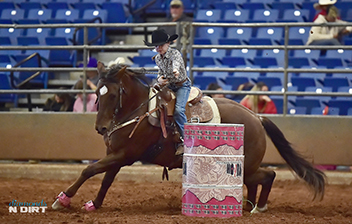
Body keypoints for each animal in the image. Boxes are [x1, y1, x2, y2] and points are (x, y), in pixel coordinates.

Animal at [51, 62, 326, 214]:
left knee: (269, 175)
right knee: (256, 181)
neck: (139, 110)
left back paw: (259, 207)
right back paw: (248, 205)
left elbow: (89, 170)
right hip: (246, 167)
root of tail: (256, 117)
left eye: (114, 94)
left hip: (246, 165)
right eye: (98, 92)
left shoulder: (124, 155)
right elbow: (106, 180)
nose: (102, 128)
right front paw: (94, 204)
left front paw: (62, 199)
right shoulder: (116, 155)